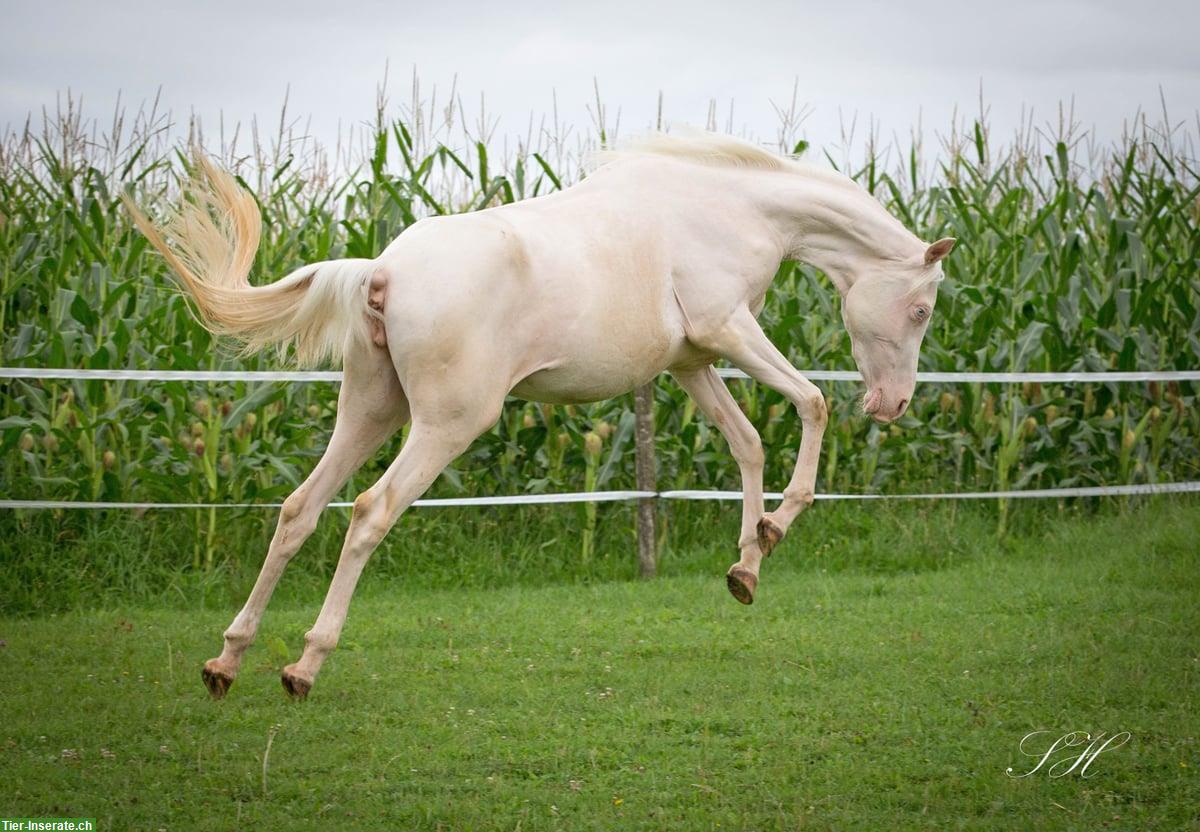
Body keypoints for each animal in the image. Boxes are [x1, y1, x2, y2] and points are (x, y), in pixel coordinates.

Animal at [124, 131, 955, 701]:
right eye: (919, 310)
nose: (892, 404)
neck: (725, 206)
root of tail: (382, 269)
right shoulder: (728, 332)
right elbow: (811, 403)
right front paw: (777, 527)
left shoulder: (691, 360)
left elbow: (748, 442)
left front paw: (748, 565)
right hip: (444, 425)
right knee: (368, 511)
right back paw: (303, 665)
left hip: (369, 410)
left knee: (299, 508)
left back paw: (227, 660)